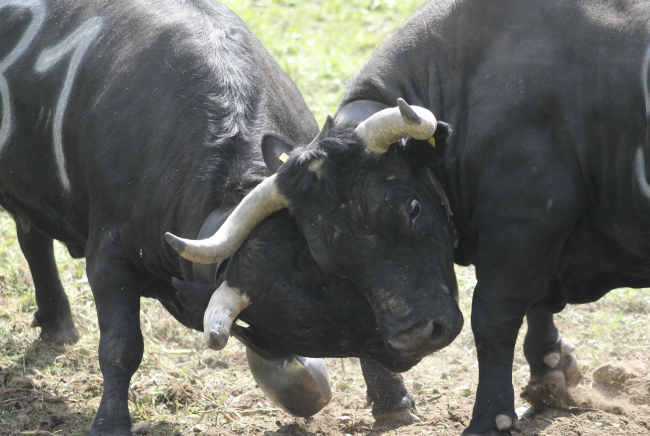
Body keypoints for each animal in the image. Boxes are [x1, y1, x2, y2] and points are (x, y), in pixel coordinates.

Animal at [0, 0, 460, 434]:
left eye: (347, 278)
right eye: (305, 327)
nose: (414, 342)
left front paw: (393, 402)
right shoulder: (107, 255)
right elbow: (120, 346)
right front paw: (110, 422)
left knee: (31, 236)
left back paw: (57, 324)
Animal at [270, 0, 650, 434]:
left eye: (413, 208)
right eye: (329, 261)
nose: (415, 337)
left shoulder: (522, 225)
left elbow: (492, 317)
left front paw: (491, 414)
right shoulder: (535, 239)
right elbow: (537, 305)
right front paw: (549, 373)